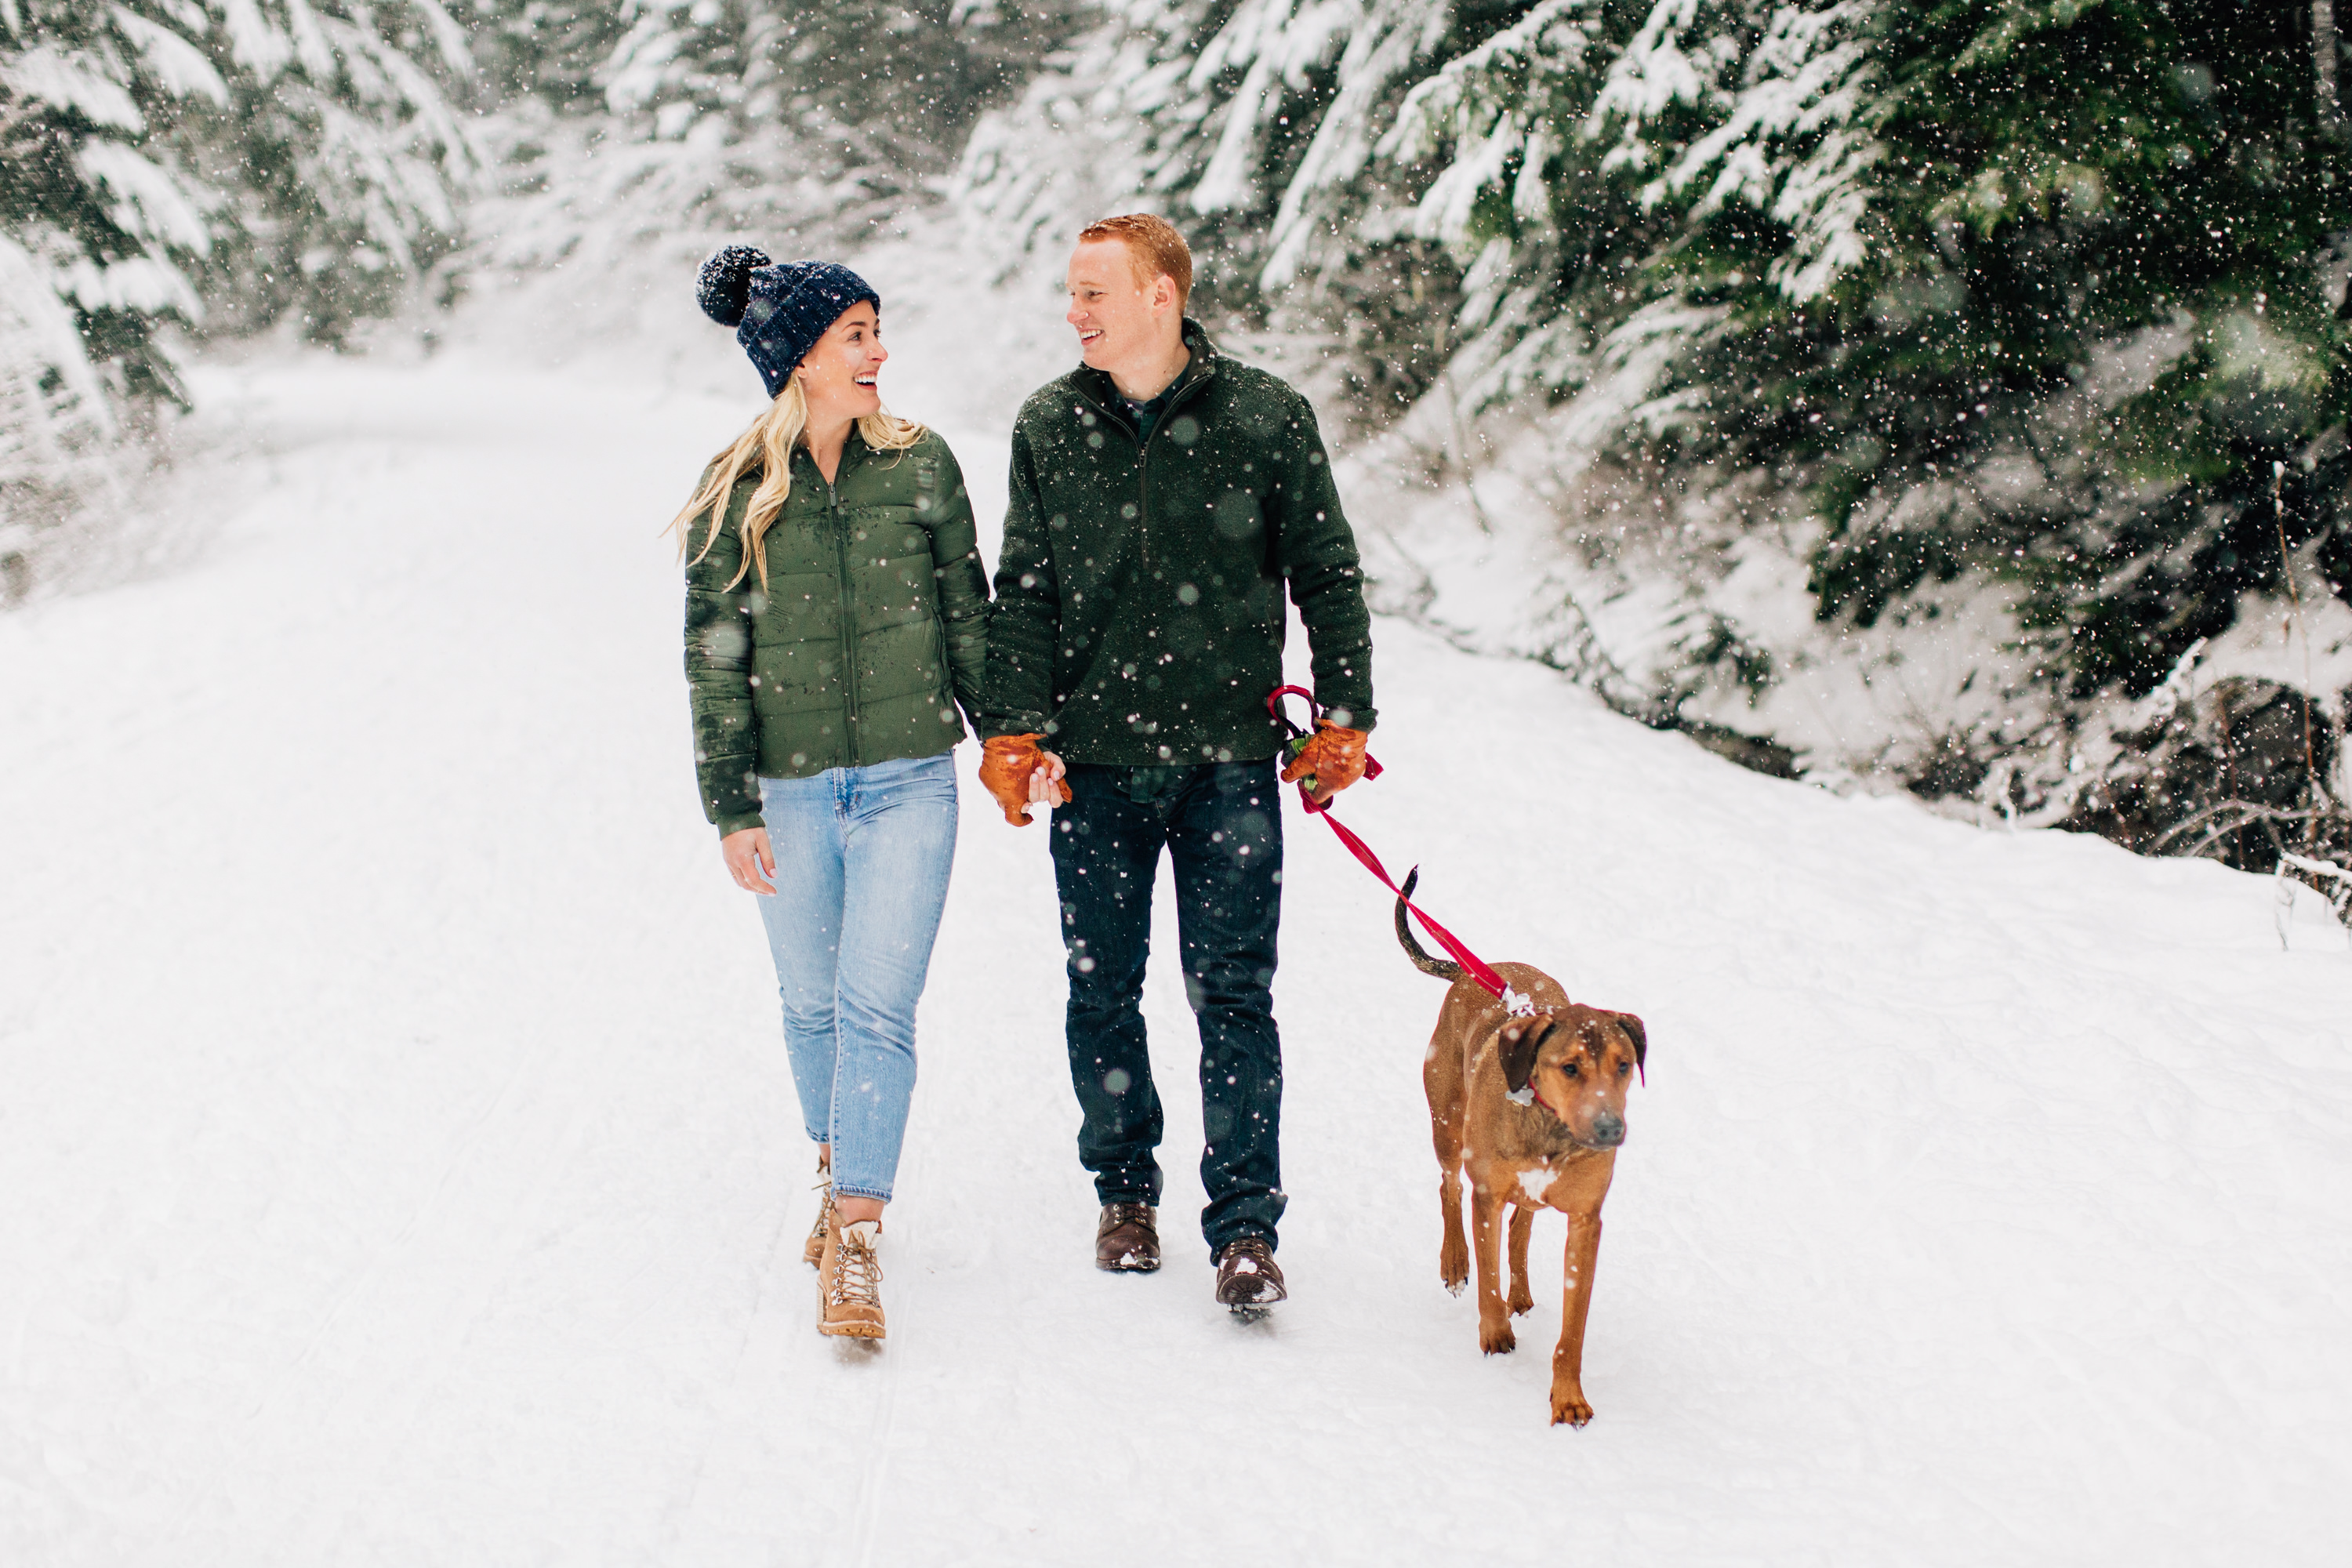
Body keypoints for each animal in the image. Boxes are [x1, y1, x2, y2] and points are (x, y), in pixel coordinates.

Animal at [1383, 879, 1646, 1429]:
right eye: (1569, 1068)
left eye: (1624, 1065)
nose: (1610, 1129)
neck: (1548, 1128)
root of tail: (1476, 970)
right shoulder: (1487, 1192)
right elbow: (1488, 1278)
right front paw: (1495, 1333)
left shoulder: (1586, 1221)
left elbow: (1572, 1330)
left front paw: (1568, 1397)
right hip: (1448, 1124)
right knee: (1449, 1185)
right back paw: (1455, 1261)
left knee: (1520, 1224)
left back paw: (1520, 1293)